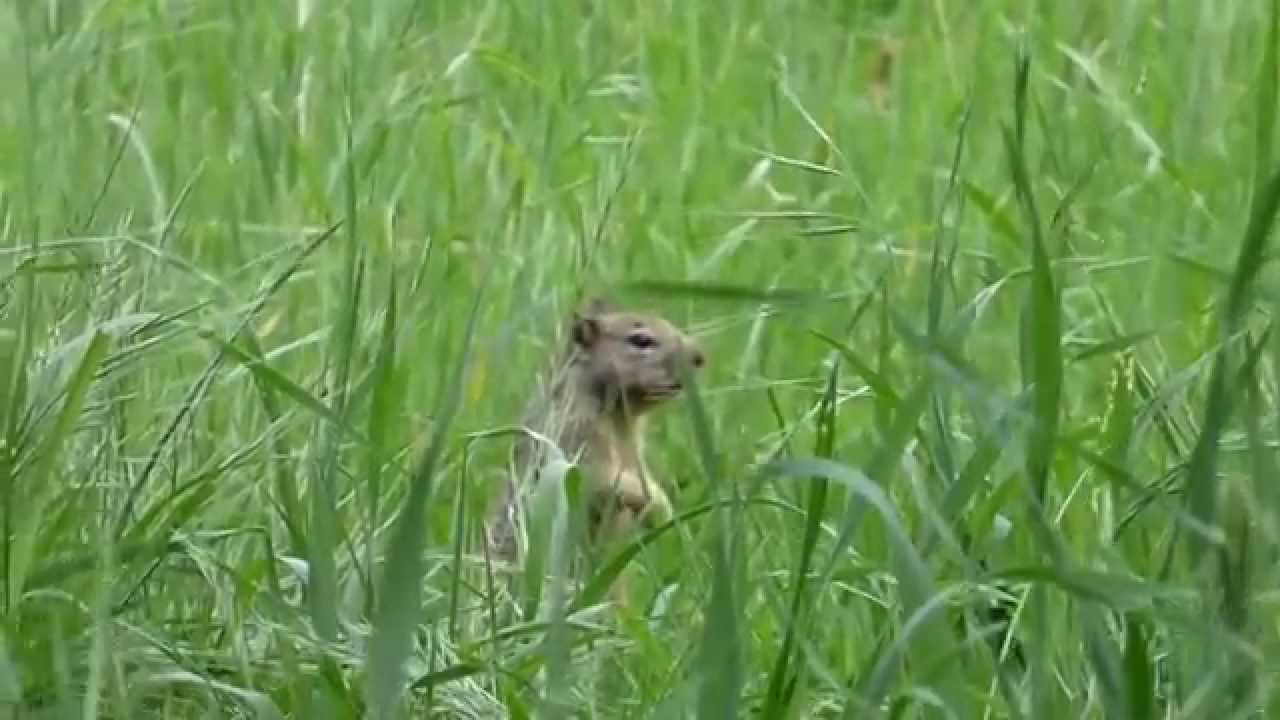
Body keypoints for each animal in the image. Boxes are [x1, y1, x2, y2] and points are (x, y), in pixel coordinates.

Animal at [486, 298, 705, 570]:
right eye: (641, 340)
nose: (700, 357)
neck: (620, 420)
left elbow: (639, 475)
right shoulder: (574, 436)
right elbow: (600, 479)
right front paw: (663, 508)